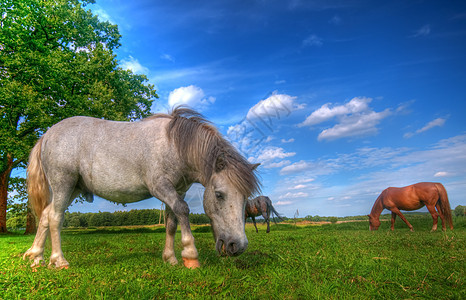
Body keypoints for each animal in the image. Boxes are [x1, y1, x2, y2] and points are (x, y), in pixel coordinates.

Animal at [23, 108, 260, 270]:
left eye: (246, 198)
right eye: (219, 195)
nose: (238, 246)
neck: (174, 145)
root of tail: (47, 134)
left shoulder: (177, 190)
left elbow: (172, 222)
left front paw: (171, 258)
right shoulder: (160, 187)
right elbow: (183, 210)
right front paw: (190, 255)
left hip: (73, 189)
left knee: (46, 215)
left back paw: (36, 256)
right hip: (64, 184)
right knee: (55, 217)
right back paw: (59, 260)